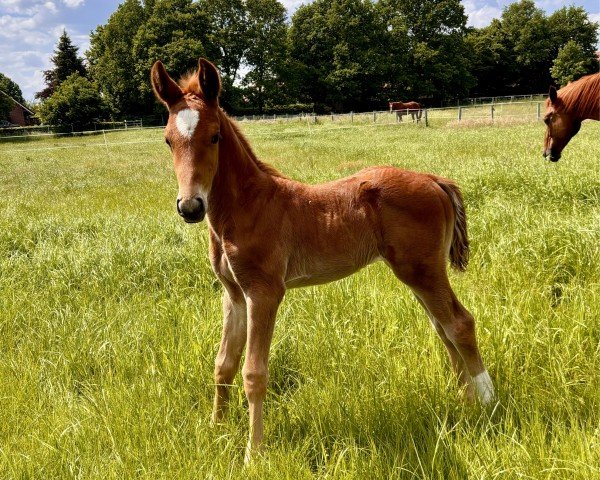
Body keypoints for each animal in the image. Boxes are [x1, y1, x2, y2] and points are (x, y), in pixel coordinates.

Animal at [152, 58, 494, 464]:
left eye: (215, 136)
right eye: (168, 140)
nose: (190, 207)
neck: (247, 206)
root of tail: (433, 178)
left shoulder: (264, 292)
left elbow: (254, 374)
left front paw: (254, 452)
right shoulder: (233, 294)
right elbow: (224, 365)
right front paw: (216, 430)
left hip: (423, 270)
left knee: (460, 323)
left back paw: (487, 402)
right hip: (418, 273)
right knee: (443, 327)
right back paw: (462, 400)